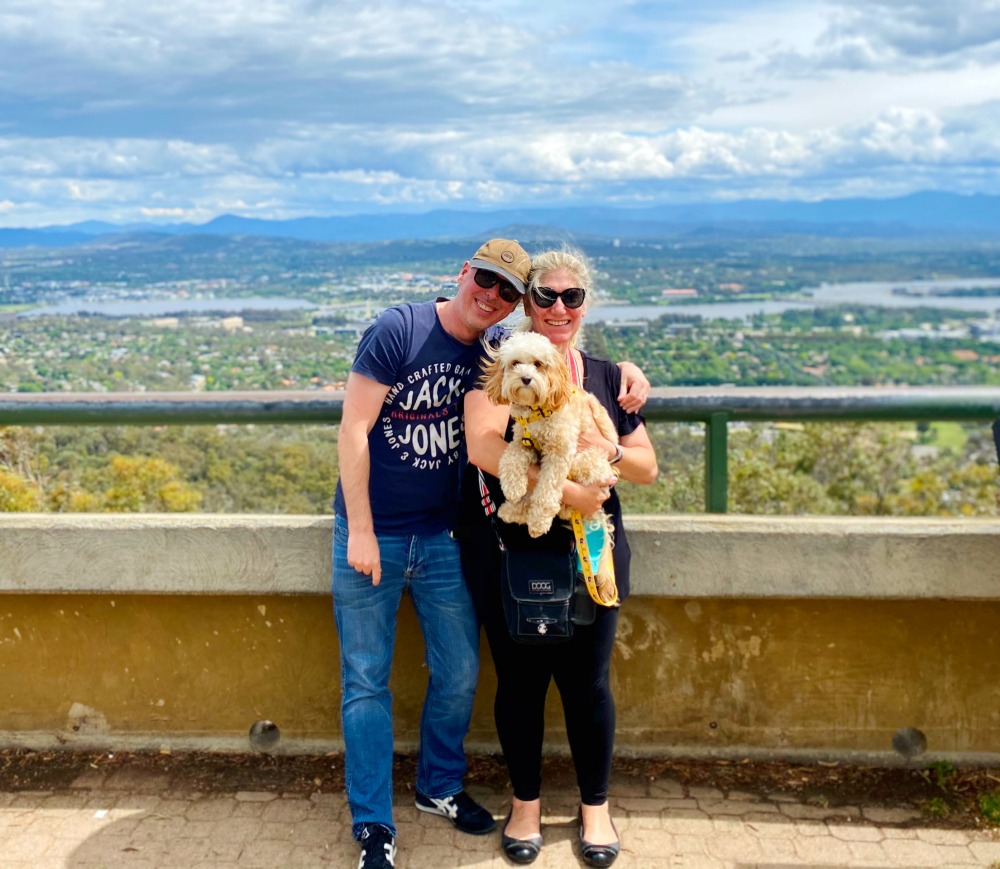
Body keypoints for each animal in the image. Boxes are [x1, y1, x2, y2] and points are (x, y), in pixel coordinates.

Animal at [478, 328, 616, 592]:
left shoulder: (559, 452)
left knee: (561, 503)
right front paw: (513, 486)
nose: (525, 379)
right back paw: (511, 509)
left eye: (538, 364)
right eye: (515, 363)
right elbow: (510, 458)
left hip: (587, 461)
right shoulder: (523, 442)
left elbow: (546, 492)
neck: (537, 412)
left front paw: (539, 522)